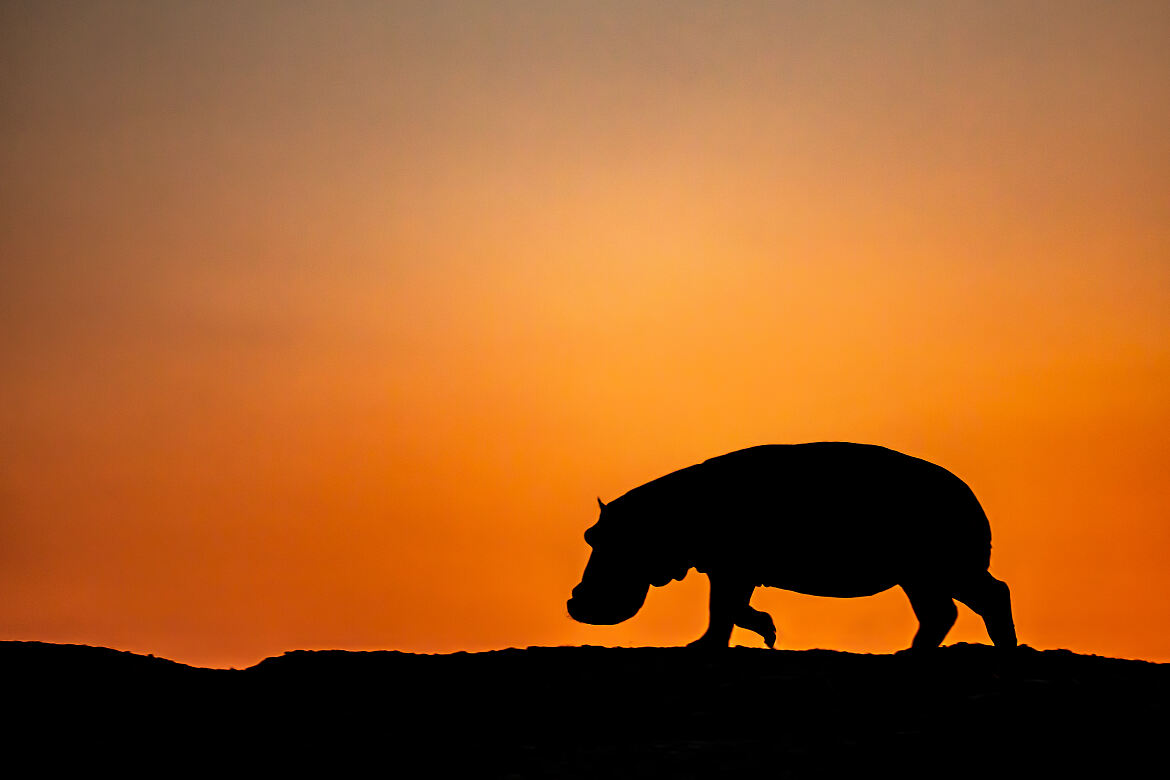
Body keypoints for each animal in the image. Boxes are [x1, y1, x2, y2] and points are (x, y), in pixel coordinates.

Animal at [567, 443, 1017, 650]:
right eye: (589, 535)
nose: (575, 602)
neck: (661, 516)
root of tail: (971, 497)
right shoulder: (728, 569)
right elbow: (728, 610)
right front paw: (753, 635)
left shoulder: (731, 568)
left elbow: (724, 608)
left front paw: (715, 644)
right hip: (921, 578)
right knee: (945, 612)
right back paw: (910, 654)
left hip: (943, 570)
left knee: (990, 596)